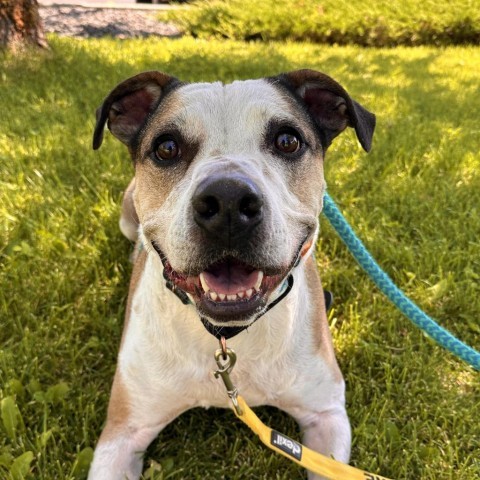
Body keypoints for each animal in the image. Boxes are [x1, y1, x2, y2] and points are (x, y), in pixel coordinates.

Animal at [89, 68, 376, 480]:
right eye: (166, 148)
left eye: (288, 141)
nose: (227, 201)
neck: (225, 337)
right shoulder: (122, 432)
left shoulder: (326, 414)